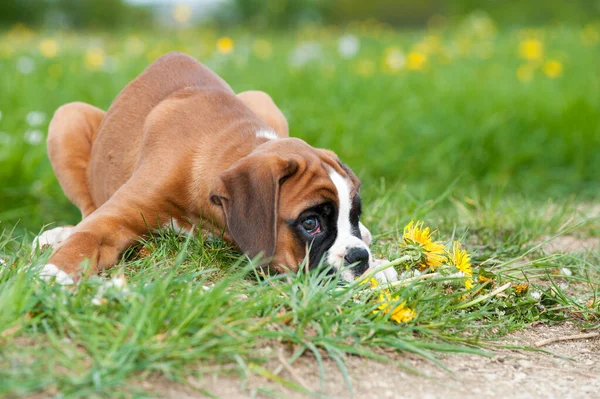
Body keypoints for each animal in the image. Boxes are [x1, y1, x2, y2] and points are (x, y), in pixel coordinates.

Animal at [35, 52, 390, 284]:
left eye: (354, 214)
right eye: (310, 223)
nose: (359, 258)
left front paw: (379, 265)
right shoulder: (115, 218)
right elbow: (87, 237)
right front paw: (53, 274)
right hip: (67, 117)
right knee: (86, 210)